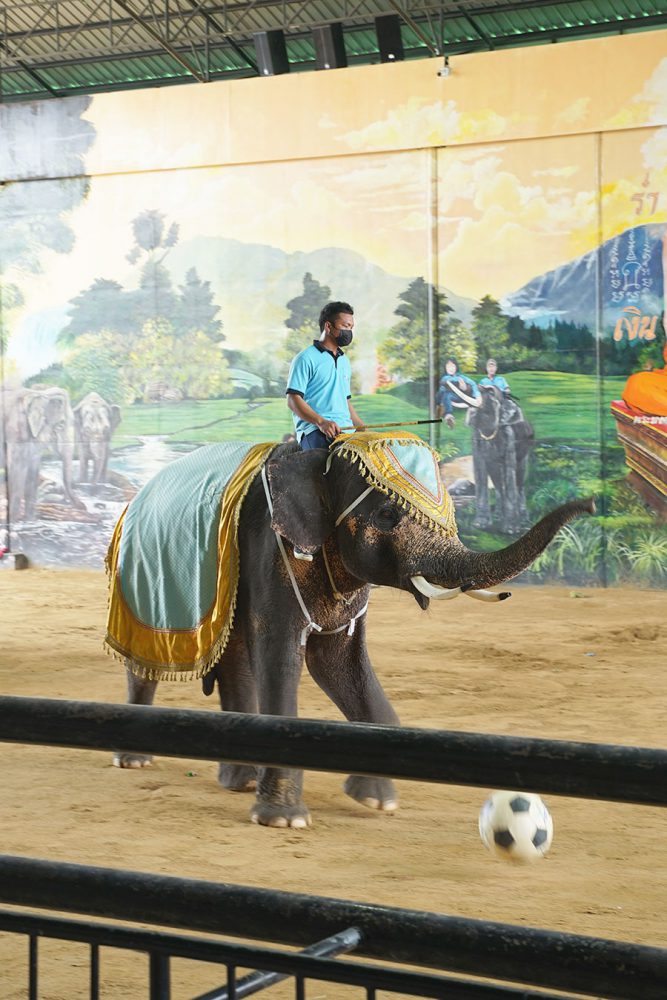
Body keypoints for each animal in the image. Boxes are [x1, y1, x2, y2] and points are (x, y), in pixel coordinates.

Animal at [0, 384, 83, 524]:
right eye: (61, 424)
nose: (83, 506)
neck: (38, 393)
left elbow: (33, 471)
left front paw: (30, 521)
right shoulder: (16, 430)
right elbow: (16, 469)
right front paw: (13, 521)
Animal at [113, 438, 596, 828]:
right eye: (387, 514)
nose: (591, 505)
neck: (319, 461)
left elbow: (338, 663)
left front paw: (377, 801)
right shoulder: (272, 549)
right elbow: (282, 655)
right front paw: (284, 820)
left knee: (234, 658)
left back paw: (240, 780)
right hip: (143, 578)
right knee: (148, 659)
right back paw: (135, 760)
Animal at [468, 384, 536, 540]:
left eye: (491, 392)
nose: (479, 386)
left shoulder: (510, 439)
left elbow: (510, 473)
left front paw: (510, 530)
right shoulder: (476, 440)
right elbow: (479, 471)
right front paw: (479, 525)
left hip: (525, 453)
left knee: (519, 481)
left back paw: (524, 520)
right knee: (498, 482)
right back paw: (499, 516)